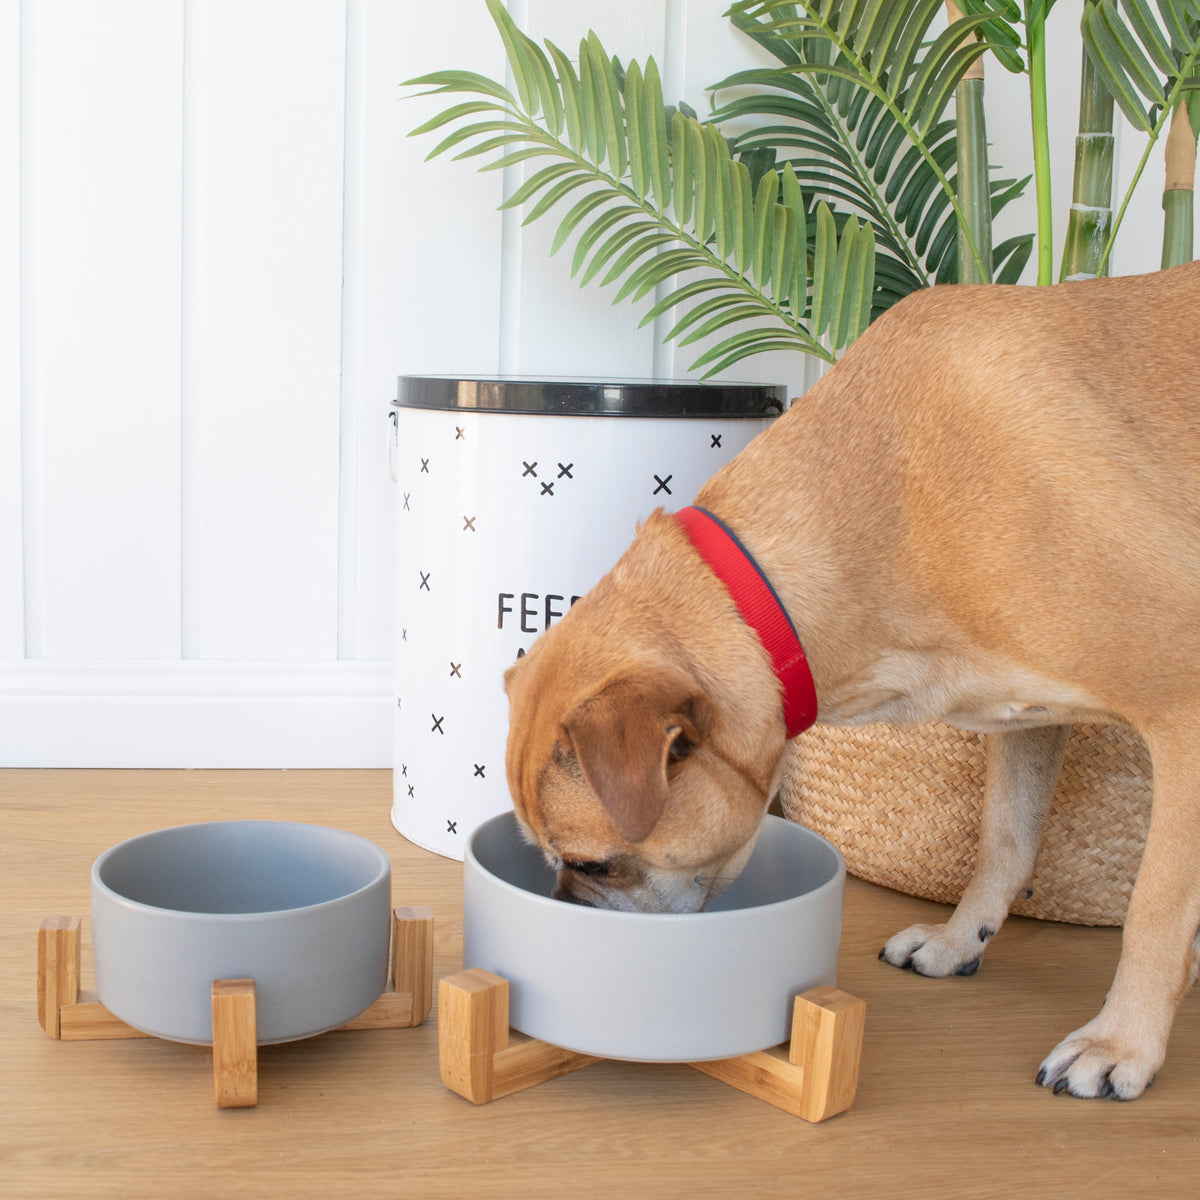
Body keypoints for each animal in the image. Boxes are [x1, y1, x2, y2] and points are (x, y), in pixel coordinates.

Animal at [501, 262, 1200, 1099]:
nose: (564, 912)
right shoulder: (1028, 720)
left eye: (594, 864)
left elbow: (1155, 909)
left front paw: (1121, 1041)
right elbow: (1005, 840)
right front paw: (961, 938)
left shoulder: (1184, 712)